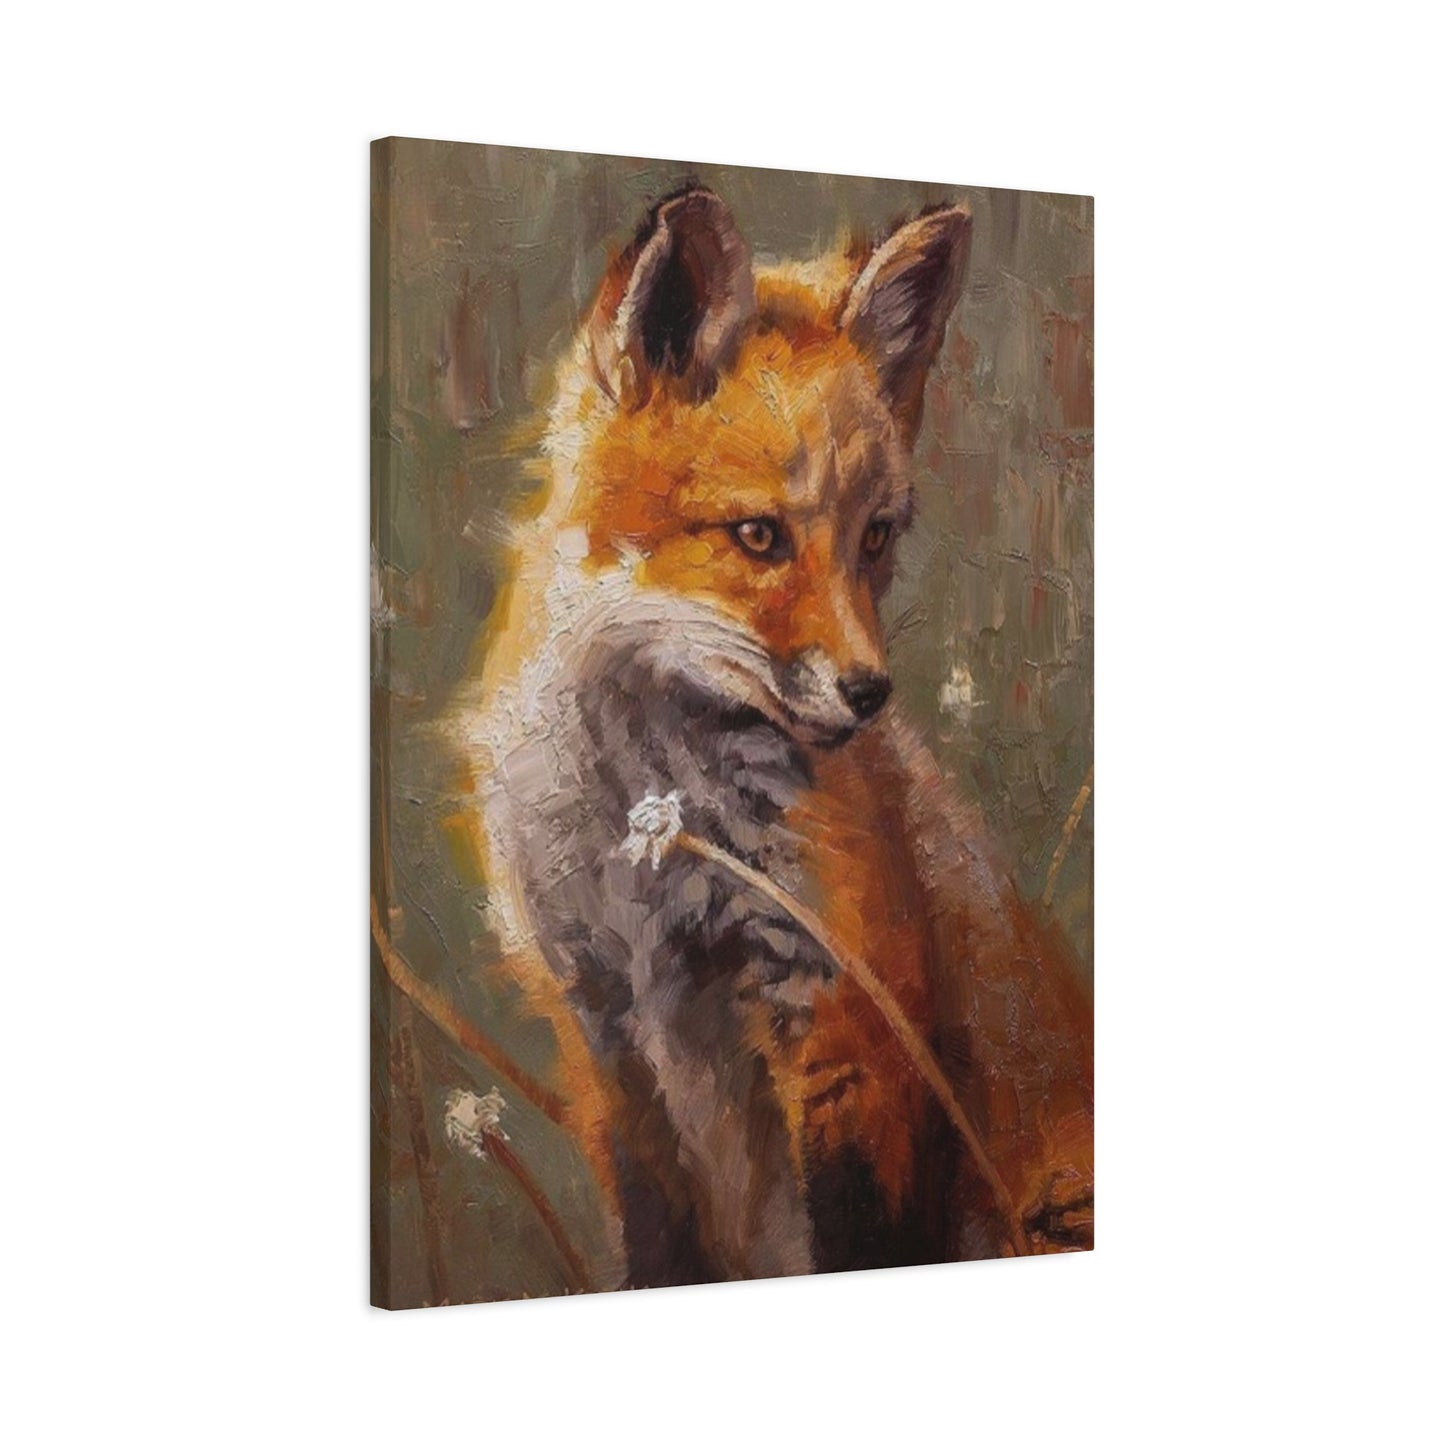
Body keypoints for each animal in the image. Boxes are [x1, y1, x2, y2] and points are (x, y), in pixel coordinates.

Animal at [450, 187, 1093, 1288]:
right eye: (758, 536)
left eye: (875, 535)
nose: (868, 693)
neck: (653, 831)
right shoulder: (602, 1027)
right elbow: (658, 1248)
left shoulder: (849, 1014)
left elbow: (862, 1235)